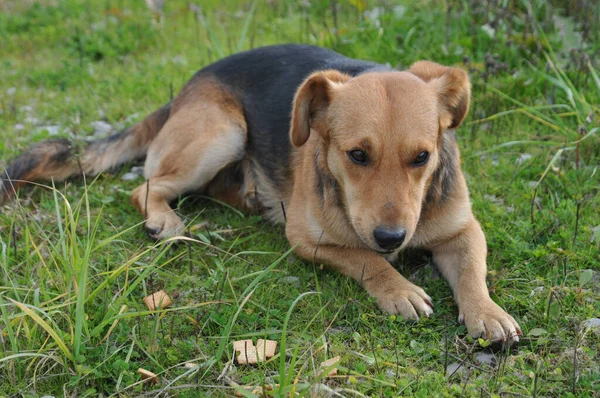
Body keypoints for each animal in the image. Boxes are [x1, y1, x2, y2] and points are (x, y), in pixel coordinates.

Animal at [1, 43, 520, 342]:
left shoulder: (463, 230)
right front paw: (399, 289)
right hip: (222, 132)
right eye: (356, 155)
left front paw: (487, 312)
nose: (392, 238)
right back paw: (164, 219)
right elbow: (364, 260)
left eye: (422, 158)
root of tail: (186, 87)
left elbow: (472, 272)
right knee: (145, 186)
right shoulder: (308, 240)